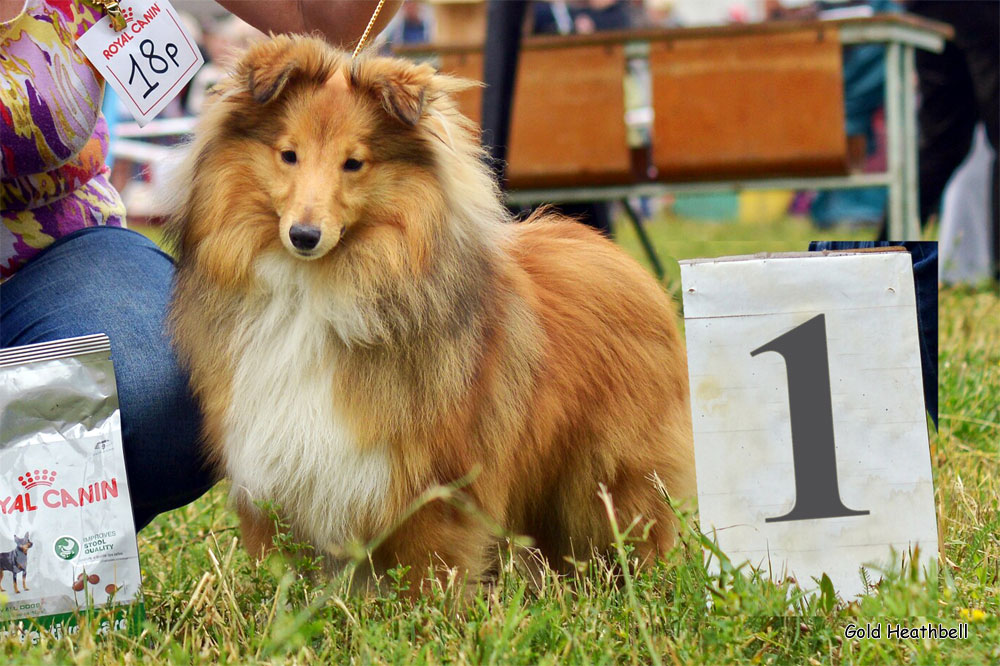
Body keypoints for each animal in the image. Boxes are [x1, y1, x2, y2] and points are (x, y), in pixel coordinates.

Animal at [166, 35, 696, 592]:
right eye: (288, 155)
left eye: (354, 163)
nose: (304, 236)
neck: (317, 289)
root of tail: (623, 261)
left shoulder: (431, 479)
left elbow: (429, 570)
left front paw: (426, 609)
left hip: (608, 473)